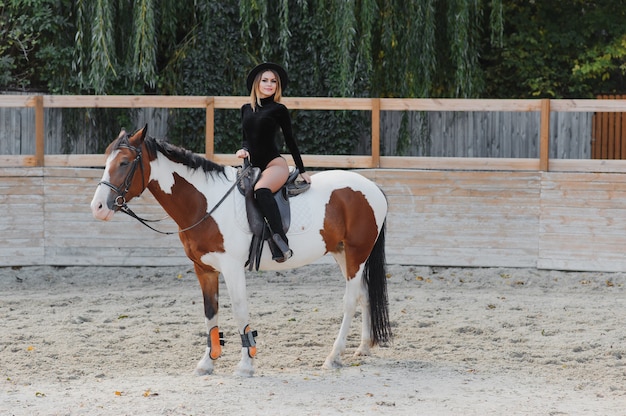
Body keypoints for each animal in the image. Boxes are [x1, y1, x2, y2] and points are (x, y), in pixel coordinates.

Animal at [89, 125, 390, 376]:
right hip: (342, 253)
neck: (205, 203)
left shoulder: (232, 268)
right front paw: (207, 362)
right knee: (364, 294)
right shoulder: (204, 269)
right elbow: (210, 313)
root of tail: (373, 187)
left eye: (124, 163)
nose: (98, 208)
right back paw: (363, 347)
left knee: (350, 300)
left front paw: (246, 364)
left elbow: (239, 311)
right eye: (106, 162)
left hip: (356, 254)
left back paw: (334, 356)